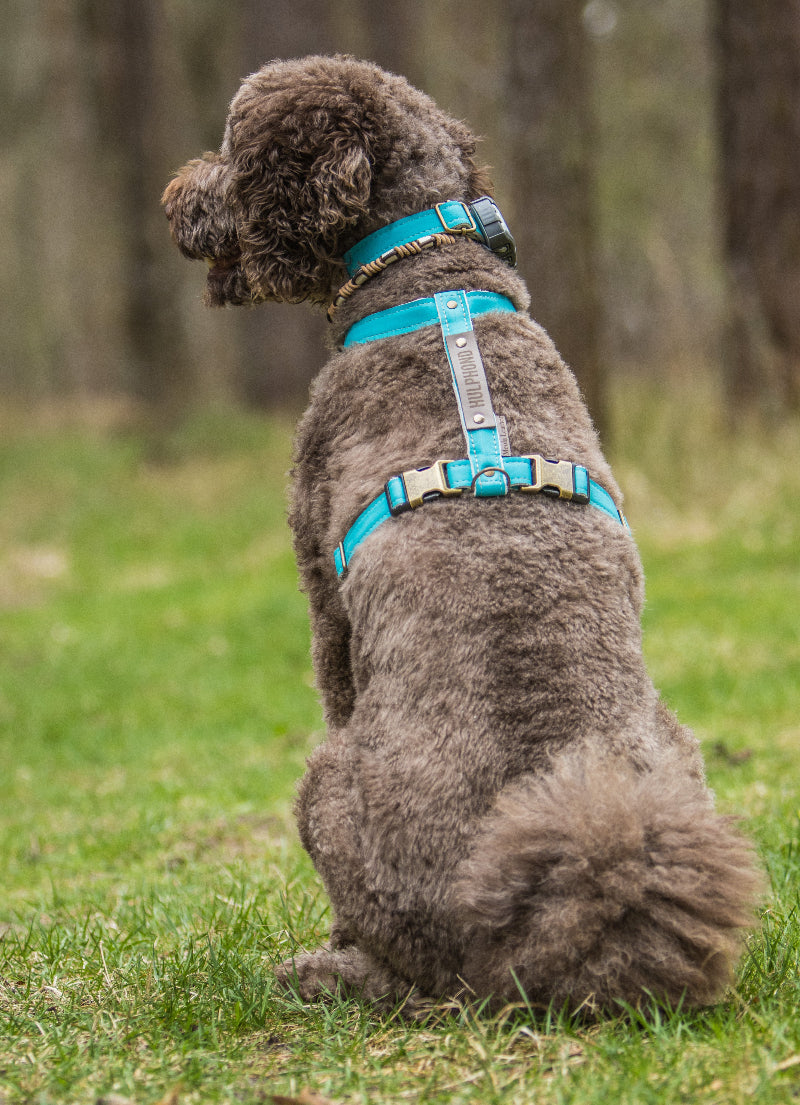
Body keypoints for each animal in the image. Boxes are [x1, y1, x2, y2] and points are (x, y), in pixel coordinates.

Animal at [163, 54, 760, 1014]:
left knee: (406, 971)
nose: (175, 197)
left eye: (230, 149)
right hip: (681, 751)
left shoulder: (323, 592)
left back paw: (324, 967)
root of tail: (525, 934)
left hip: (326, 787)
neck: (428, 279)